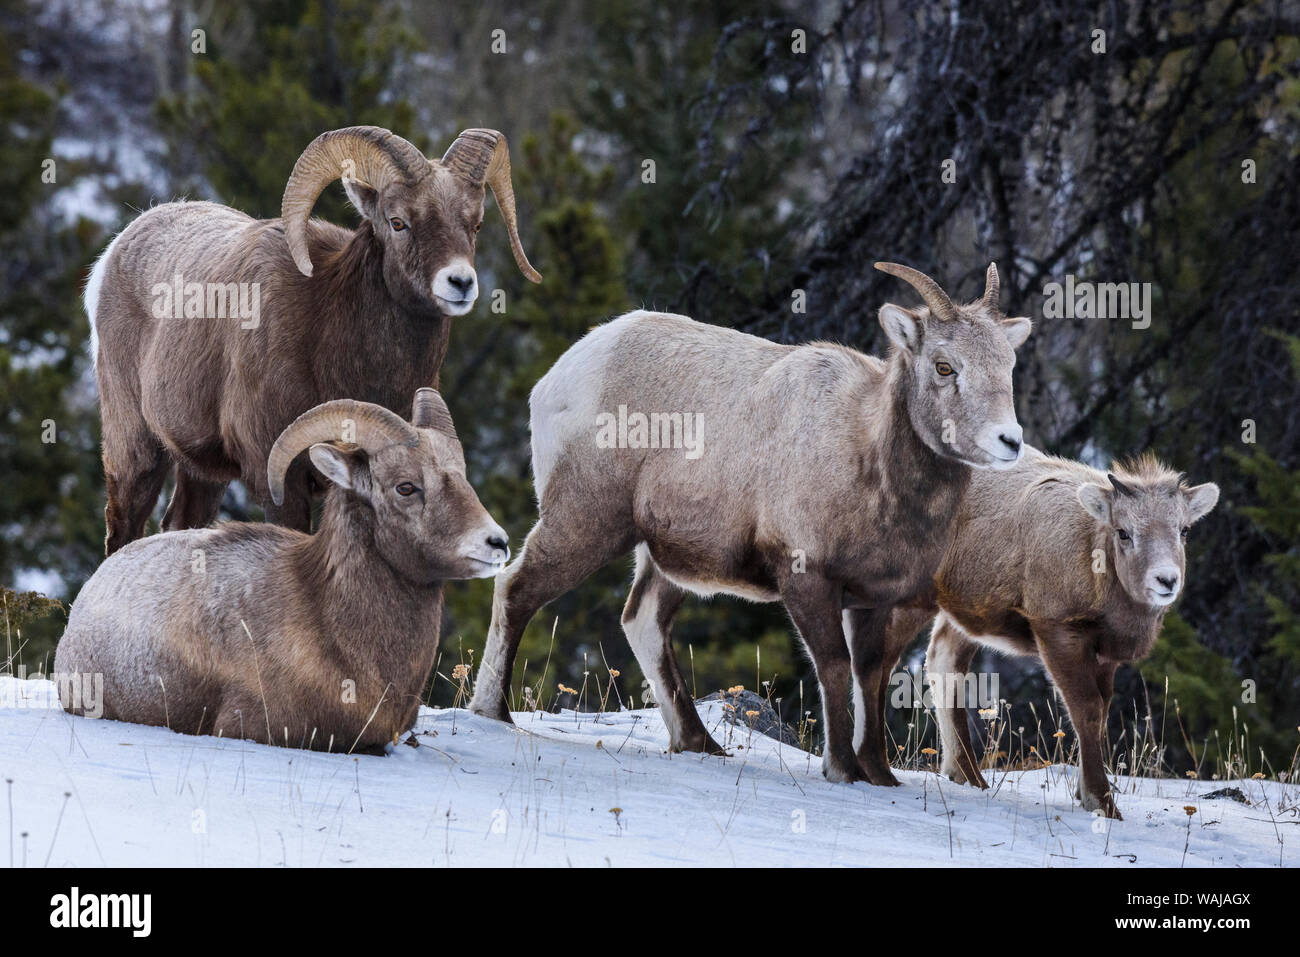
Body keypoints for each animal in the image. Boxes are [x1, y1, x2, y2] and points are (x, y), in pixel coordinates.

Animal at [86, 125, 540, 553]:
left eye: (475, 224)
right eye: (398, 222)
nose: (460, 283)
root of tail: (112, 255)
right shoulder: (281, 479)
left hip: (202, 471)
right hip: (136, 451)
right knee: (122, 530)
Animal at [473, 263, 1029, 785]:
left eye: (1008, 365)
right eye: (944, 366)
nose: (1009, 440)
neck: (867, 459)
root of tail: (561, 376)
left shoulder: (875, 599)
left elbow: (870, 677)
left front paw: (881, 776)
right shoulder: (806, 577)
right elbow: (833, 667)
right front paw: (842, 769)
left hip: (662, 558)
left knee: (642, 620)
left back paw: (700, 743)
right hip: (585, 520)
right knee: (515, 587)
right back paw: (493, 712)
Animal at [873, 447, 1216, 816]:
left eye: (1183, 530)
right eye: (1124, 531)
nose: (1166, 580)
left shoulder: (1105, 655)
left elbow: (1102, 713)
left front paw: (1084, 793)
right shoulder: (1056, 631)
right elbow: (1087, 711)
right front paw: (1101, 802)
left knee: (942, 661)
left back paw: (968, 777)